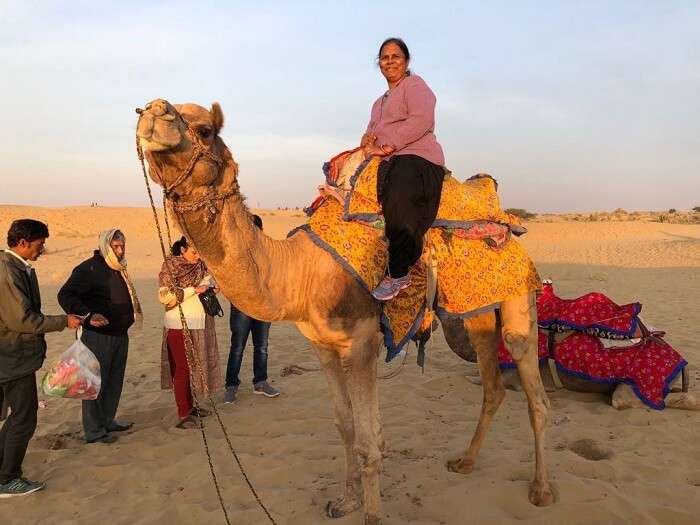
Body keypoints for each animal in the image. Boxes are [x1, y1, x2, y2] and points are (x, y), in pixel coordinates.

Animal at [137, 99, 552, 524]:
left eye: (204, 129)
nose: (153, 110)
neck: (302, 269)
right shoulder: (323, 347)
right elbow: (345, 426)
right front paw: (345, 501)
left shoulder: (362, 343)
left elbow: (370, 440)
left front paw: (371, 514)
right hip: (477, 311)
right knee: (493, 385)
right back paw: (465, 462)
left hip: (519, 299)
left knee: (534, 392)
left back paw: (540, 489)